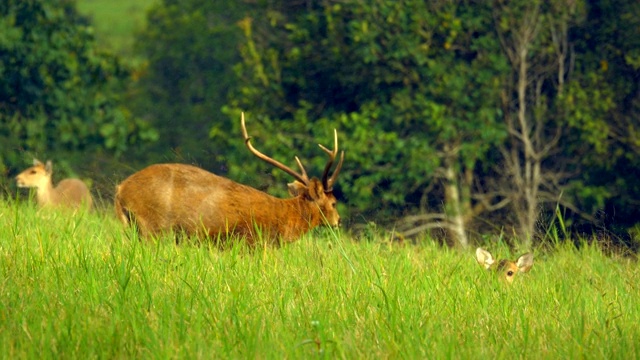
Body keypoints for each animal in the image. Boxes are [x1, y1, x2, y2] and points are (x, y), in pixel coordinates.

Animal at [115, 114, 344, 243]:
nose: (338, 221)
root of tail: (121, 189)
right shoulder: (252, 241)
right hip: (152, 225)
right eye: (334, 202)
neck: (283, 218)